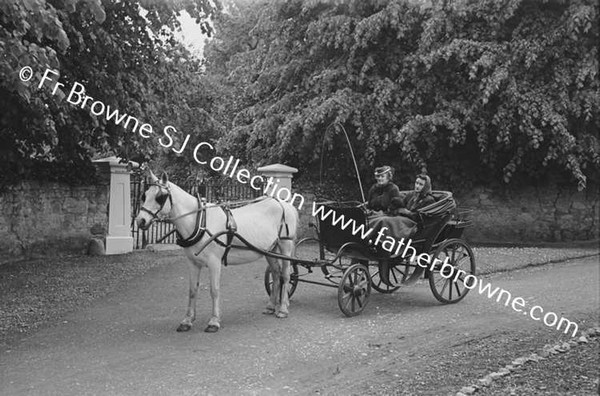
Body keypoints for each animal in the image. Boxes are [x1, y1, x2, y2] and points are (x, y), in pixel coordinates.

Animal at [135, 170, 296, 332]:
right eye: (144, 195)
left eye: (160, 197)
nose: (140, 221)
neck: (200, 222)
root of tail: (283, 204)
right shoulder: (193, 263)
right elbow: (192, 290)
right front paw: (187, 320)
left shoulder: (214, 263)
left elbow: (214, 290)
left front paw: (214, 321)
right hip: (270, 249)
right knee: (276, 274)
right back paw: (271, 306)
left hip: (285, 246)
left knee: (286, 275)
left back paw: (283, 309)